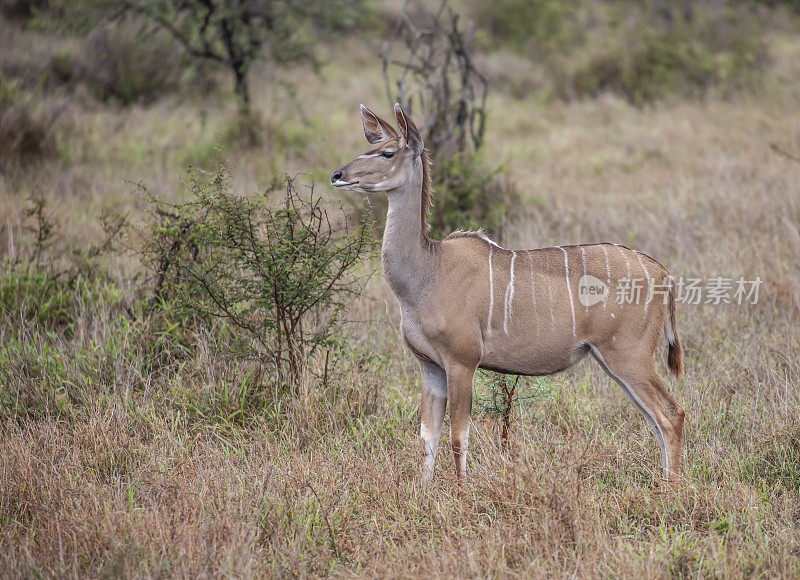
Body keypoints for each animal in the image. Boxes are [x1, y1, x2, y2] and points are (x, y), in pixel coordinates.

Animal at [332, 106, 688, 482]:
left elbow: (459, 436)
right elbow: (428, 437)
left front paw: (460, 490)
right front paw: (424, 491)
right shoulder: (429, 367)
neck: (428, 270)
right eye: (370, 145)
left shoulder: (462, 361)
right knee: (656, 420)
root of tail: (663, 274)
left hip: (629, 356)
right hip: (613, 361)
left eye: (388, 152)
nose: (338, 175)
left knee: (670, 416)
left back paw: (670, 490)